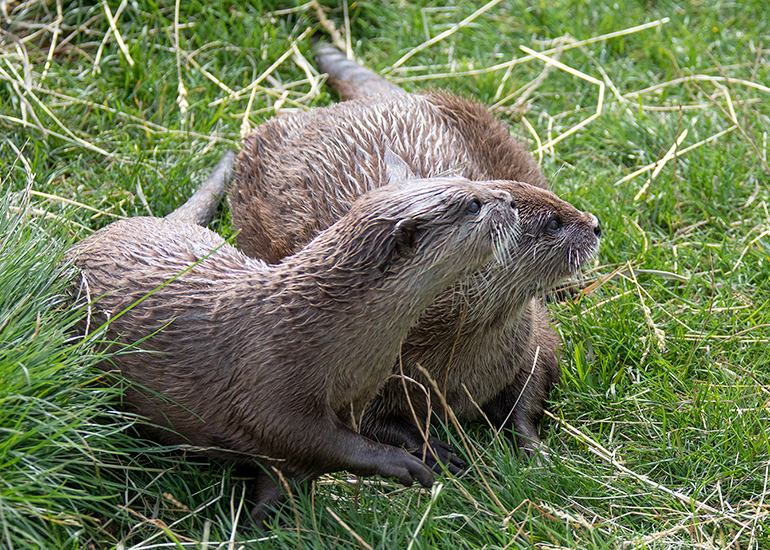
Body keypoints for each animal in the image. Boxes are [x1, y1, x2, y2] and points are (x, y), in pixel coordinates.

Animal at [69, 177, 519, 523]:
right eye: (474, 203)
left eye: (471, 180)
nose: (510, 199)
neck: (314, 329)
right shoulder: (268, 384)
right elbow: (309, 440)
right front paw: (403, 461)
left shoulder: (354, 398)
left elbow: (298, 468)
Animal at [224, 42, 601, 468]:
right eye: (554, 222)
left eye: (558, 204)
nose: (595, 224)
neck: (454, 364)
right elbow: (373, 427)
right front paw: (436, 452)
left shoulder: (532, 340)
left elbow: (530, 391)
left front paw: (534, 449)